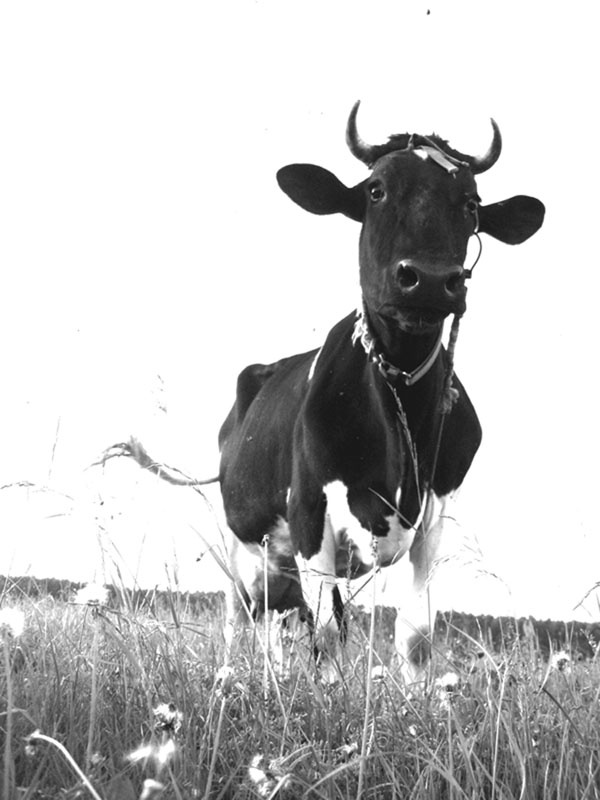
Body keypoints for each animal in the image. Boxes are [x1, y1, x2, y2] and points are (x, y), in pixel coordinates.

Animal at [218, 101, 545, 681]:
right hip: (241, 538)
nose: (431, 279)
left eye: (471, 203)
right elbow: (328, 633)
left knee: (277, 618)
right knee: (247, 617)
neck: (398, 404)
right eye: (376, 190)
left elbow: (415, 633)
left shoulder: (435, 511)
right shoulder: (309, 509)